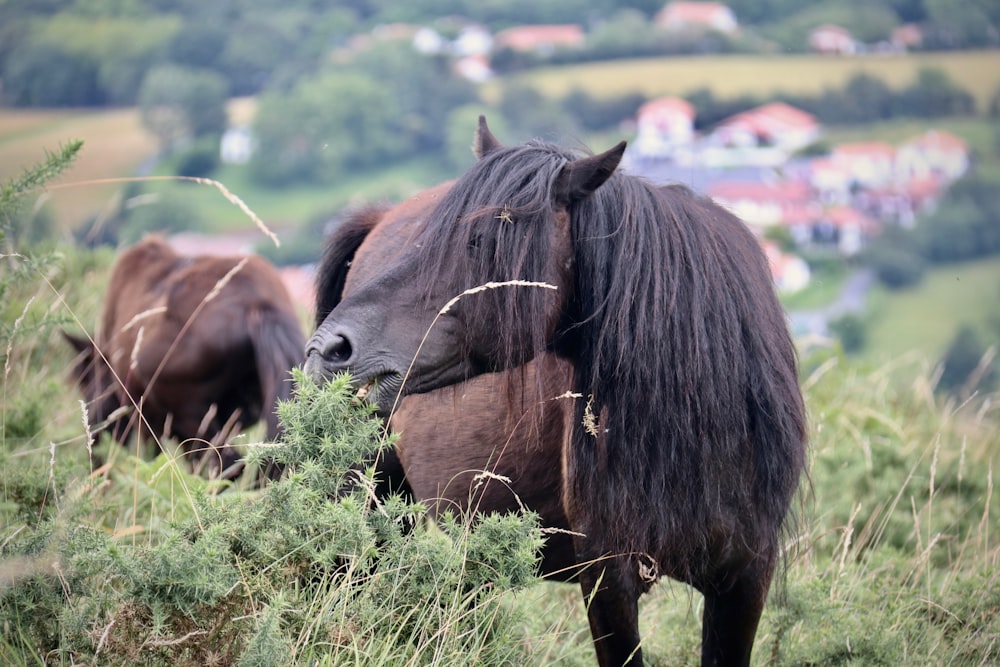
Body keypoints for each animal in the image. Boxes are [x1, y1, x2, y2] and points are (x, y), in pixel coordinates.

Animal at [65, 237, 304, 478]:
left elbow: (151, 457)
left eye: (85, 383)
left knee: (225, 464)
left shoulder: (148, 418)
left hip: (191, 417)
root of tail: (257, 305)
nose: (93, 443)